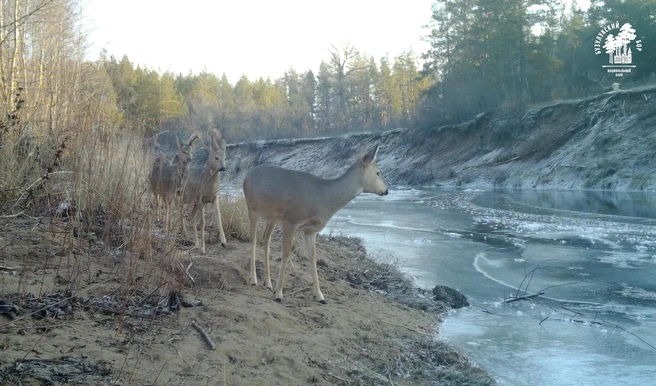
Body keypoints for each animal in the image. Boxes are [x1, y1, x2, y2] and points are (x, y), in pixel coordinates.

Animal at [246, 145, 390, 304]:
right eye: (378, 172)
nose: (386, 191)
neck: (323, 197)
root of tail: (248, 174)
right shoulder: (290, 221)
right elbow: (286, 254)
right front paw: (278, 294)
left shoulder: (310, 230)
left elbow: (313, 257)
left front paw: (320, 296)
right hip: (252, 209)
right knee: (253, 239)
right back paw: (253, 280)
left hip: (272, 218)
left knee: (266, 239)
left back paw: (268, 282)